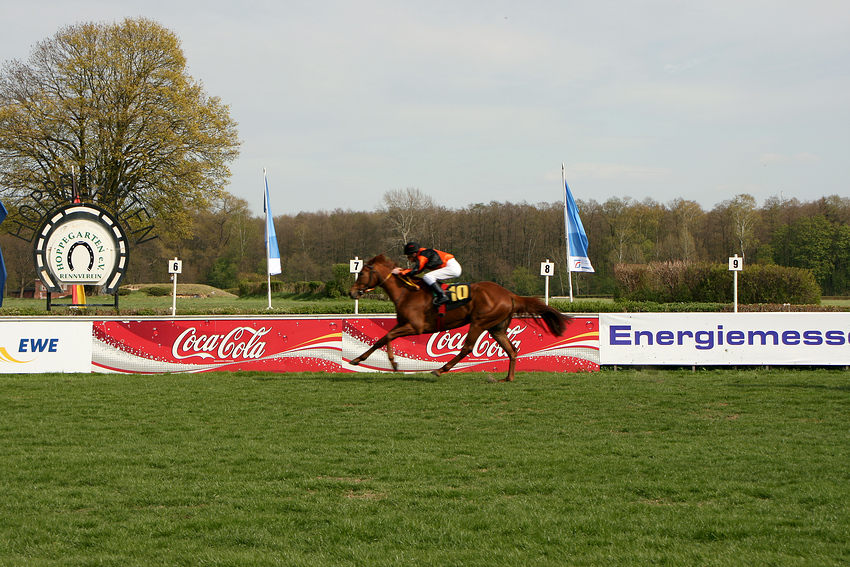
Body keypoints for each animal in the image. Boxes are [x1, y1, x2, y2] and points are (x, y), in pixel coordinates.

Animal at [348, 254, 572, 382]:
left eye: (362, 274)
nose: (352, 292)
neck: (407, 292)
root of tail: (509, 294)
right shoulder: (403, 324)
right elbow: (384, 338)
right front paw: (382, 362)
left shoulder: (415, 326)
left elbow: (385, 337)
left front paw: (368, 360)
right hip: (497, 328)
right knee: (512, 350)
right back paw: (508, 378)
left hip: (479, 322)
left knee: (467, 348)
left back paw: (441, 370)